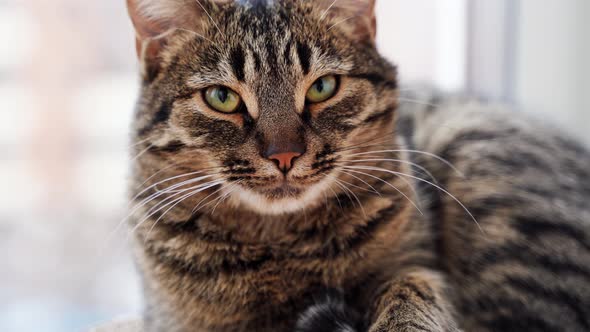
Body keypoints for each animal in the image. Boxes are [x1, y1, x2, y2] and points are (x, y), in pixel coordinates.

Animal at [126, 0, 590, 332]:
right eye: (222, 98)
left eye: (323, 87)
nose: (284, 155)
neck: (281, 246)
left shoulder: (416, 261)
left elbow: (411, 291)